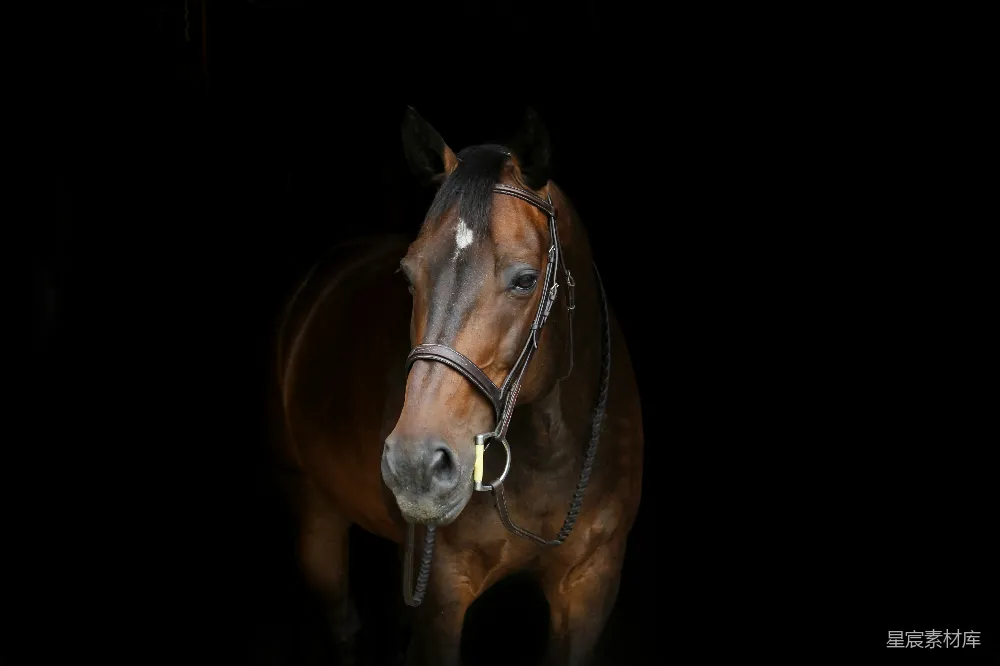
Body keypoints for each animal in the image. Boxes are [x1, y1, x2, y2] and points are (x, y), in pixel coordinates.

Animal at [272, 107, 644, 666]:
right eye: (408, 276)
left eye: (526, 279)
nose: (415, 465)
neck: (550, 454)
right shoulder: (442, 597)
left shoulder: (590, 586)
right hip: (314, 509)